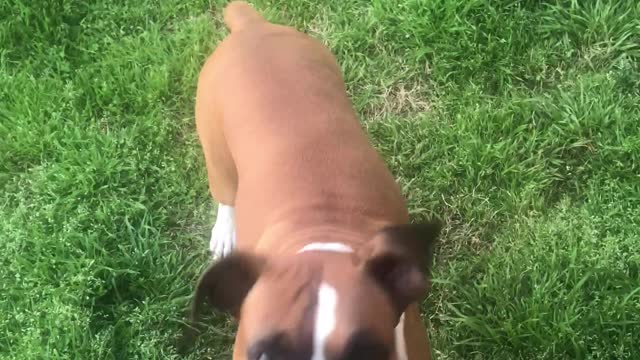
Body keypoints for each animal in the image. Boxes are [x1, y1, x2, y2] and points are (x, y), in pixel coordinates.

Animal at [190, 1, 440, 358]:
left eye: (364, 353)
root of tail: (252, 27)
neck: (324, 233)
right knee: (225, 193)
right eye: (267, 353)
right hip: (217, 155)